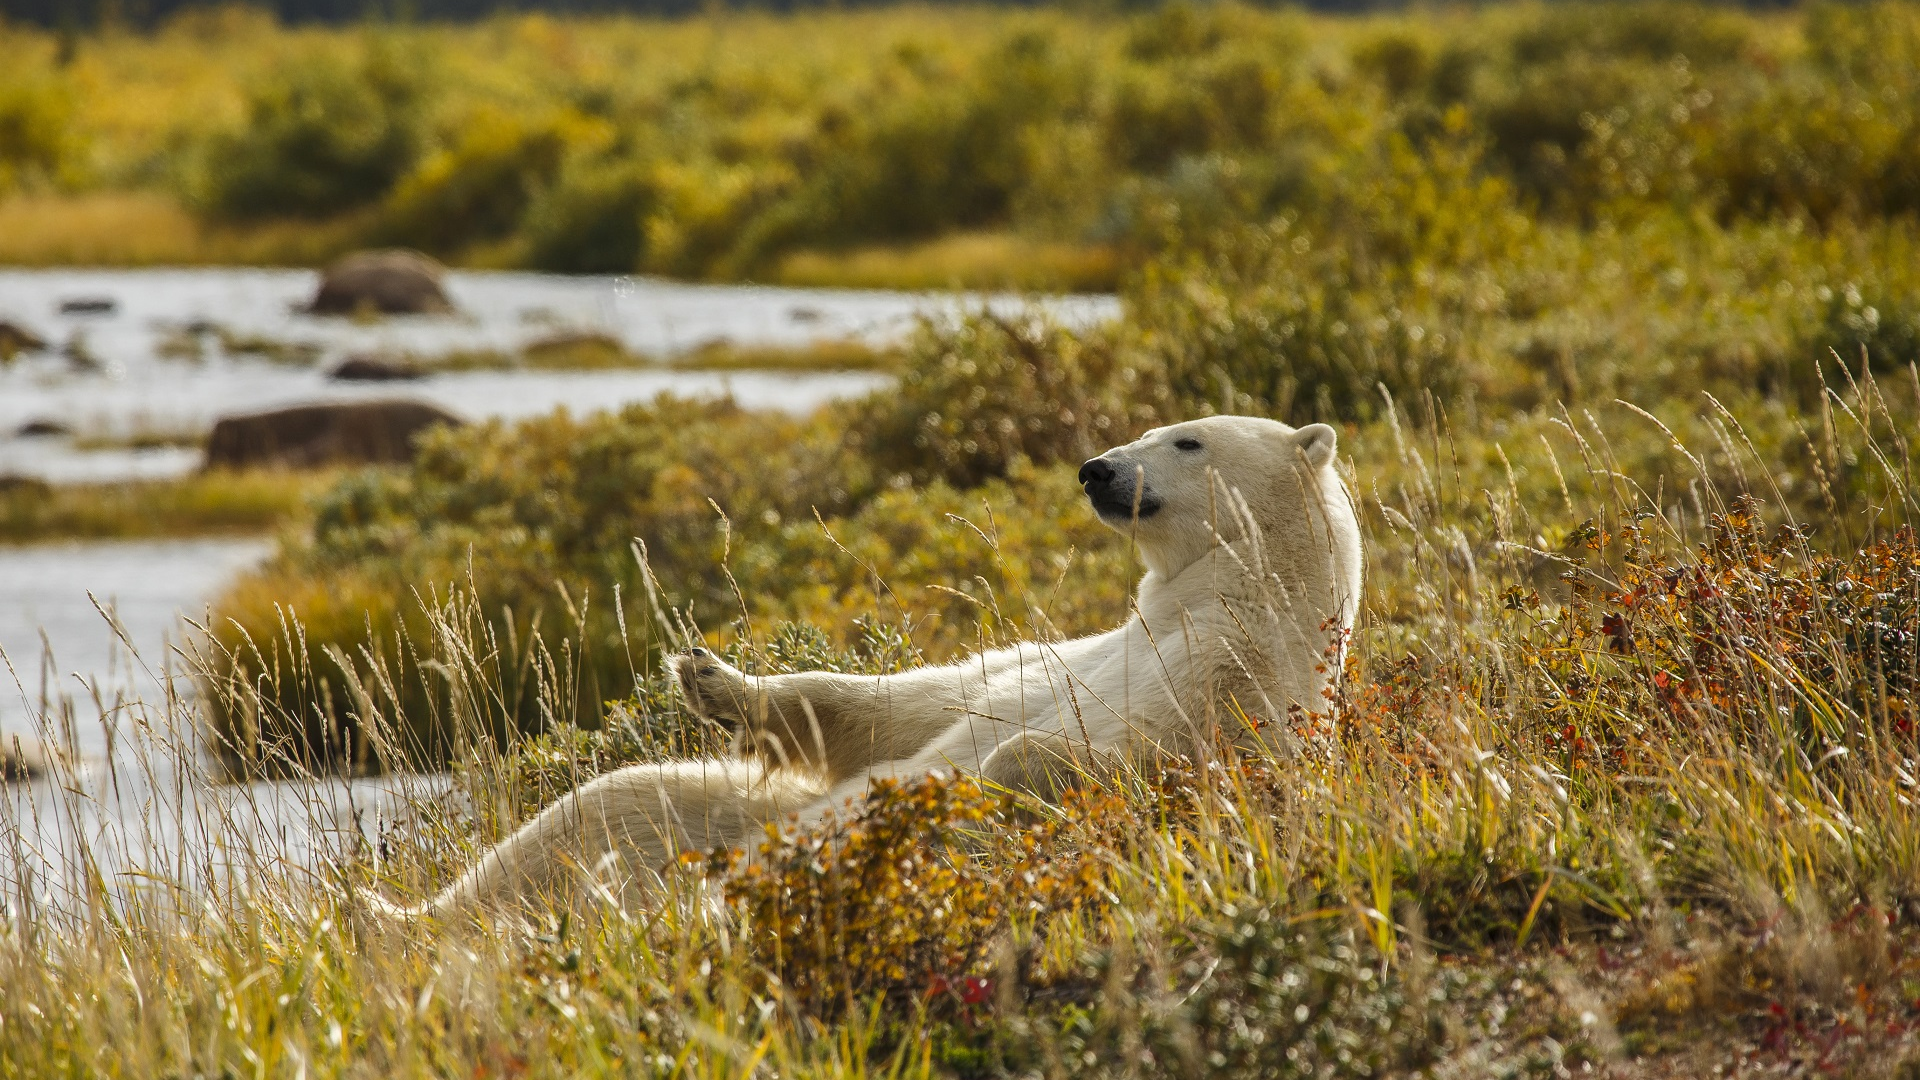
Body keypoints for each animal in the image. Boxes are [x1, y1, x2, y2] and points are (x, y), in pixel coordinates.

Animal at [367, 415, 1362, 921]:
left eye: (1189, 440)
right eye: (1152, 425)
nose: (1097, 469)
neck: (1215, 593)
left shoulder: (1238, 675)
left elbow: (1121, 756)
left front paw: (983, 783)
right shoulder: (1094, 649)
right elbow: (926, 701)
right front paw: (710, 675)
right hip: (716, 813)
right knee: (593, 810)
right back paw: (397, 918)